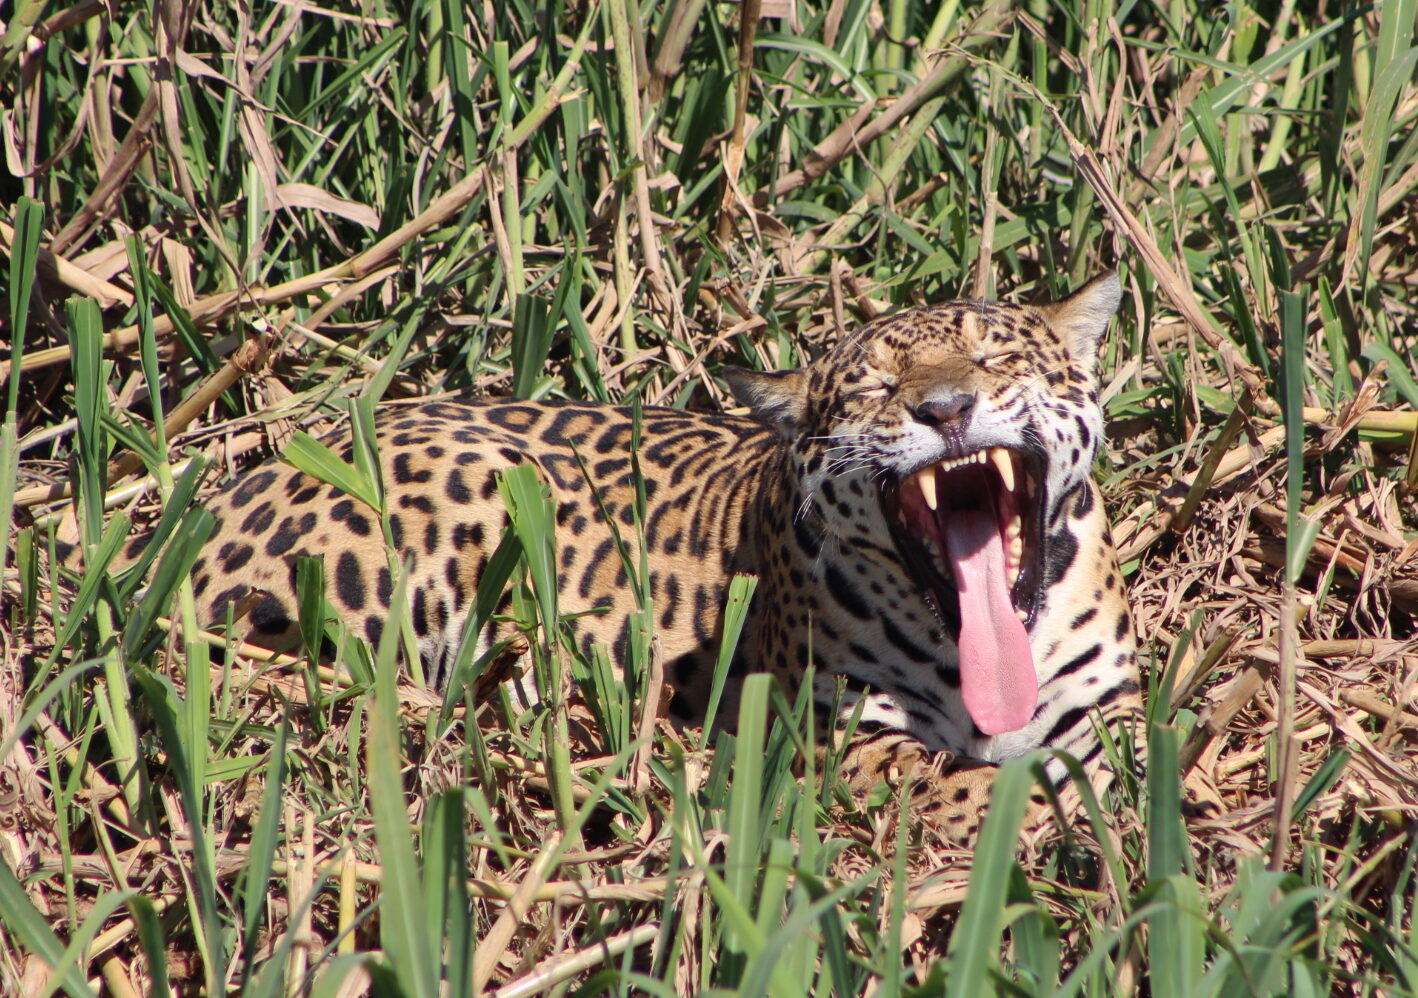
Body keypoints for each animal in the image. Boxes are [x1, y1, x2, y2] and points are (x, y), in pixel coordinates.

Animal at [121, 272, 1140, 839]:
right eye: (873, 390)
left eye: (996, 362)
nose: (944, 410)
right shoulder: (832, 737)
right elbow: (972, 783)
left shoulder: (1114, 705)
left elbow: (1109, 760)